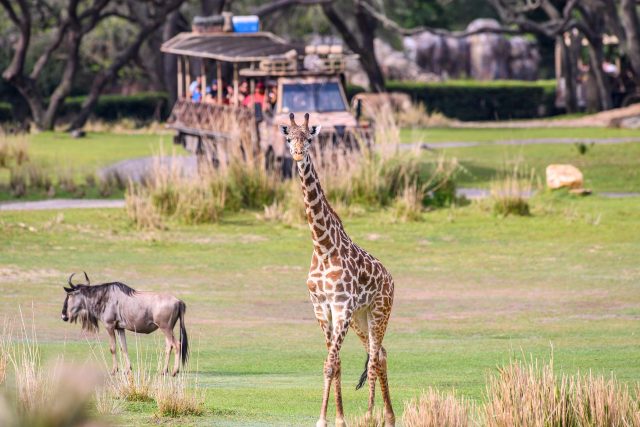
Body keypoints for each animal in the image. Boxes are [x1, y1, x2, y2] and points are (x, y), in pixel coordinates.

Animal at [280, 112, 396, 426]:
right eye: (288, 137)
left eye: (309, 137)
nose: (298, 154)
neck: (323, 247)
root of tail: (391, 279)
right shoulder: (322, 307)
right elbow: (335, 362)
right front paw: (338, 418)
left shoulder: (342, 306)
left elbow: (331, 363)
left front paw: (325, 419)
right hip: (361, 318)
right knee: (380, 353)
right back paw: (389, 416)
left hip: (379, 311)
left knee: (375, 357)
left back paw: (372, 415)